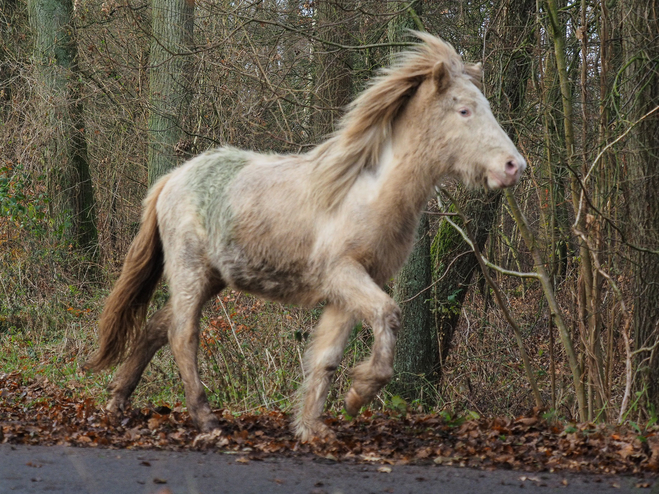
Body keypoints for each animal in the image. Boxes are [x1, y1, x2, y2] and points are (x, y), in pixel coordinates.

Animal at [85, 32, 524, 442]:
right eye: (464, 109)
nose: (514, 166)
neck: (368, 193)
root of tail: (172, 179)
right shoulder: (343, 275)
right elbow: (387, 315)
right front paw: (358, 394)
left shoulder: (348, 292)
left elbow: (325, 357)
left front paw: (313, 427)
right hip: (189, 271)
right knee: (181, 336)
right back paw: (205, 418)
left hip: (210, 278)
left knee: (156, 327)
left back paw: (117, 402)